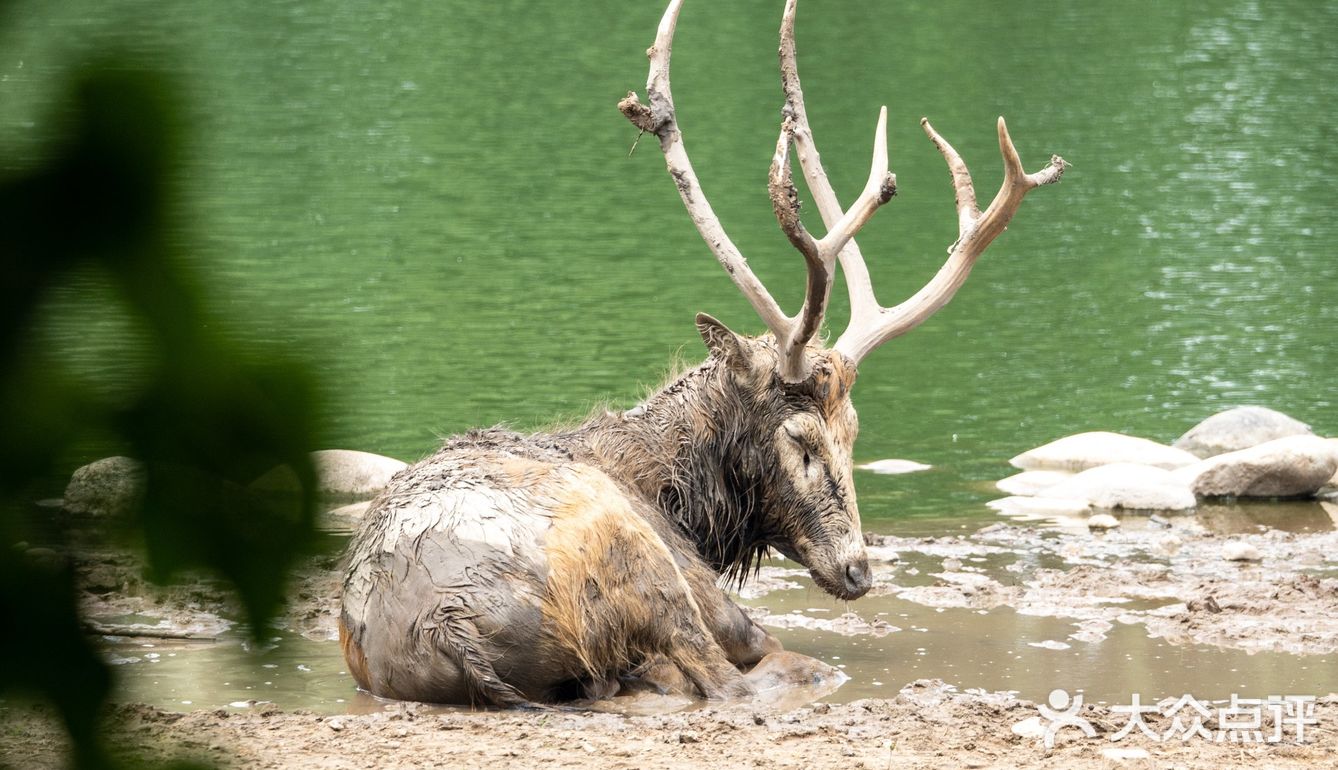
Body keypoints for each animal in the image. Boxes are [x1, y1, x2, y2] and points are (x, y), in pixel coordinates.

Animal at [339, 0, 1064, 707]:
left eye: (854, 430)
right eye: (800, 438)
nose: (858, 569)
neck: (682, 502)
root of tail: (453, 631)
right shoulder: (702, 579)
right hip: (644, 562)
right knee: (732, 677)